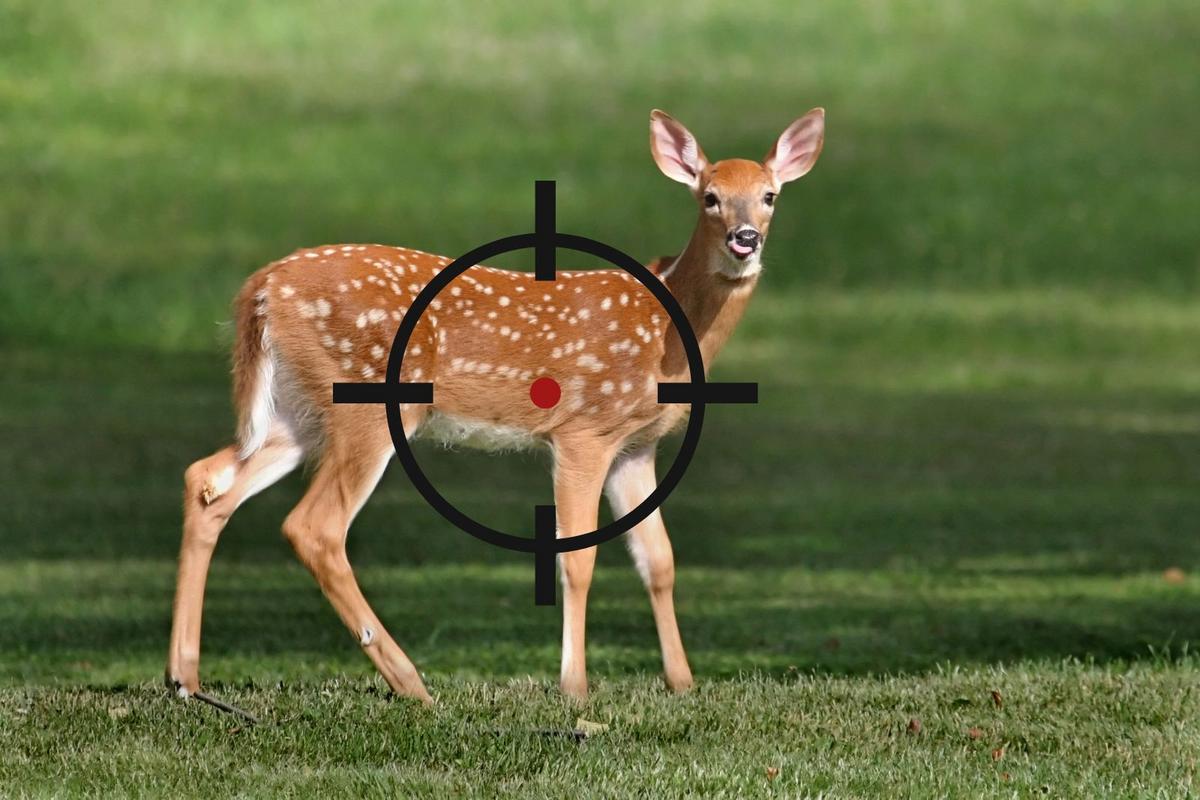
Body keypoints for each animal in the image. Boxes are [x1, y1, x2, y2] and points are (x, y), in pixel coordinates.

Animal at [166, 108, 825, 706]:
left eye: (769, 196)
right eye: (710, 198)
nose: (746, 239)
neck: (666, 329)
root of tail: (261, 289)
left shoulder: (635, 447)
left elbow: (658, 559)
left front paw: (682, 683)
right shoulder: (584, 430)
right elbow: (578, 558)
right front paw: (575, 690)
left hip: (296, 410)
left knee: (208, 480)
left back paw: (185, 678)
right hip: (365, 400)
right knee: (314, 526)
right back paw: (412, 684)